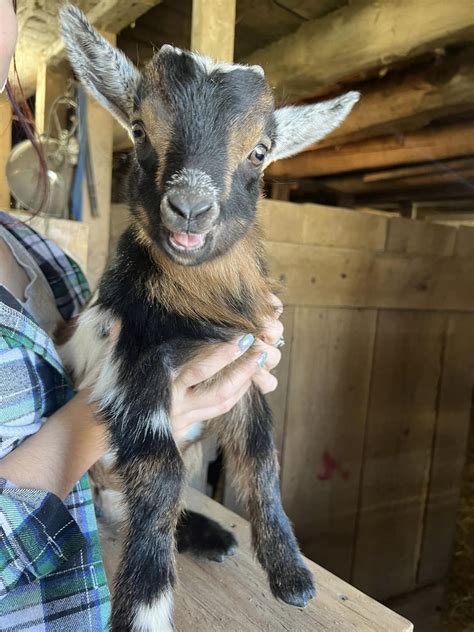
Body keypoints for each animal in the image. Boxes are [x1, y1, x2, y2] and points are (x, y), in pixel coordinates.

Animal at [57, 6, 358, 632]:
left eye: (261, 150)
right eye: (139, 129)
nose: (191, 208)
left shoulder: (248, 361)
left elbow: (262, 455)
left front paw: (291, 574)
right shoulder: (135, 363)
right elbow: (161, 470)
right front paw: (144, 605)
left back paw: (212, 535)